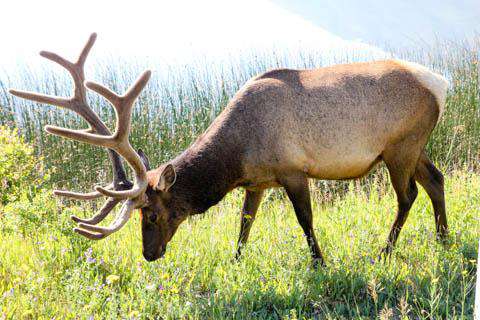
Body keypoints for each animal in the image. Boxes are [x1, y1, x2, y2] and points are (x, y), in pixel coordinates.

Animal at [10, 33, 450, 264]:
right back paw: (444, 239)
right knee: (436, 179)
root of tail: (442, 84)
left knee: (408, 194)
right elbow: (244, 225)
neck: (237, 156)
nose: (149, 254)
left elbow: (305, 221)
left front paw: (320, 263)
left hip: (399, 145)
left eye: (153, 214)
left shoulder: (293, 169)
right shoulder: (257, 182)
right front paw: (235, 262)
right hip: (414, 146)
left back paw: (384, 252)